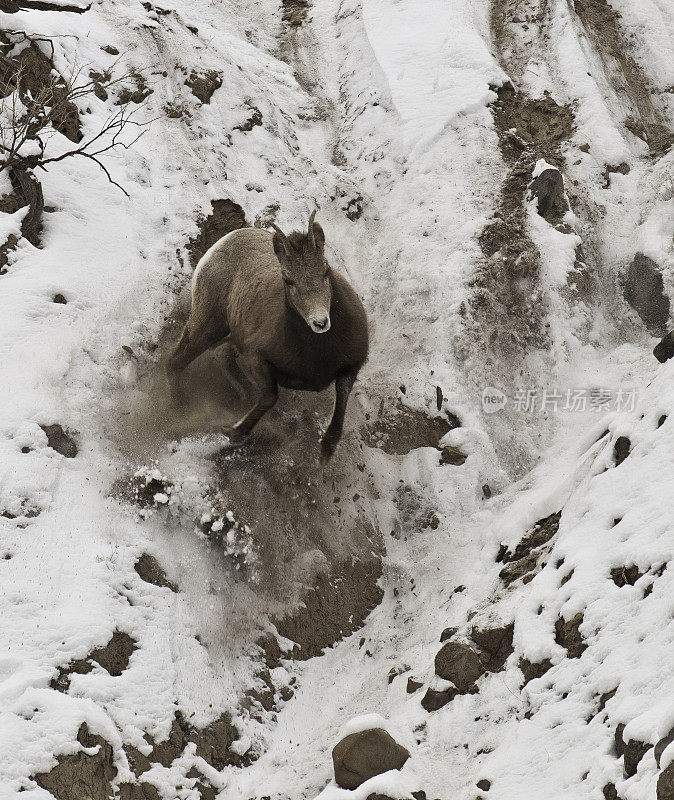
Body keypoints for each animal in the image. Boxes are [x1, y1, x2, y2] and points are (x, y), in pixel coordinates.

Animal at [167, 212, 368, 462]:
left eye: (325, 271)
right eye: (288, 280)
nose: (320, 323)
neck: (317, 354)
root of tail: (222, 243)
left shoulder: (351, 367)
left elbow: (342, 398)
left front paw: (326, 450)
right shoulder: (256, 359)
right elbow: (270, 396)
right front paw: (234, 433)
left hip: (227, 335)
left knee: (219, 354)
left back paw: (242, 396)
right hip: (208, 325)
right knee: (176, 362)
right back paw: (179, 412)